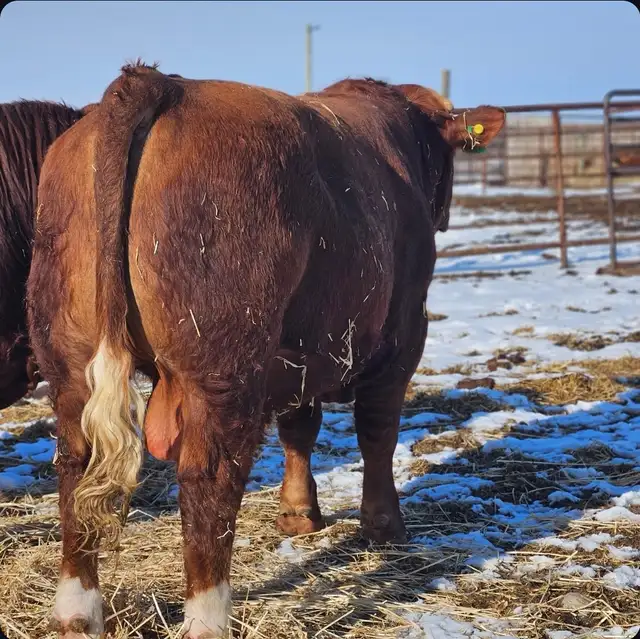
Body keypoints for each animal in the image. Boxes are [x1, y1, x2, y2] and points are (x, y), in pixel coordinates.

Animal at [27, 62, 505, 638]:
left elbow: (299, 427)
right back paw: (209, 617)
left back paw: (76, 611)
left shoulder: (303, 347)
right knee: (209, 477)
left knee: (75, 464)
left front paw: (299, 514)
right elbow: (377, 433)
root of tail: (160, 82)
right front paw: (384, 525)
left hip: (69, 362)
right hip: (223, 367)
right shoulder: (404, 332)